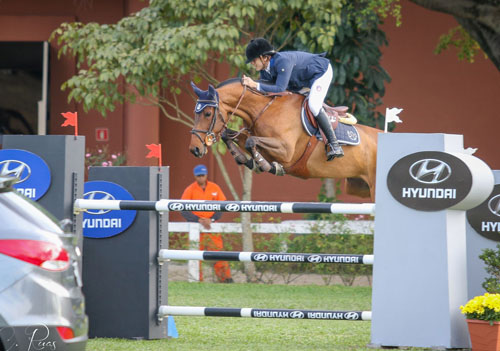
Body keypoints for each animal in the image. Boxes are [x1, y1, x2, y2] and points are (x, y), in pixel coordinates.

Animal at [189, 79, 376, 201]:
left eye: (207, 113)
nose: (194, 149)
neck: (266, 109)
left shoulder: (286, 152)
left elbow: (251, 142)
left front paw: (266, 166)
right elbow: (233, 137)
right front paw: (245, 159)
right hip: (358, 187)